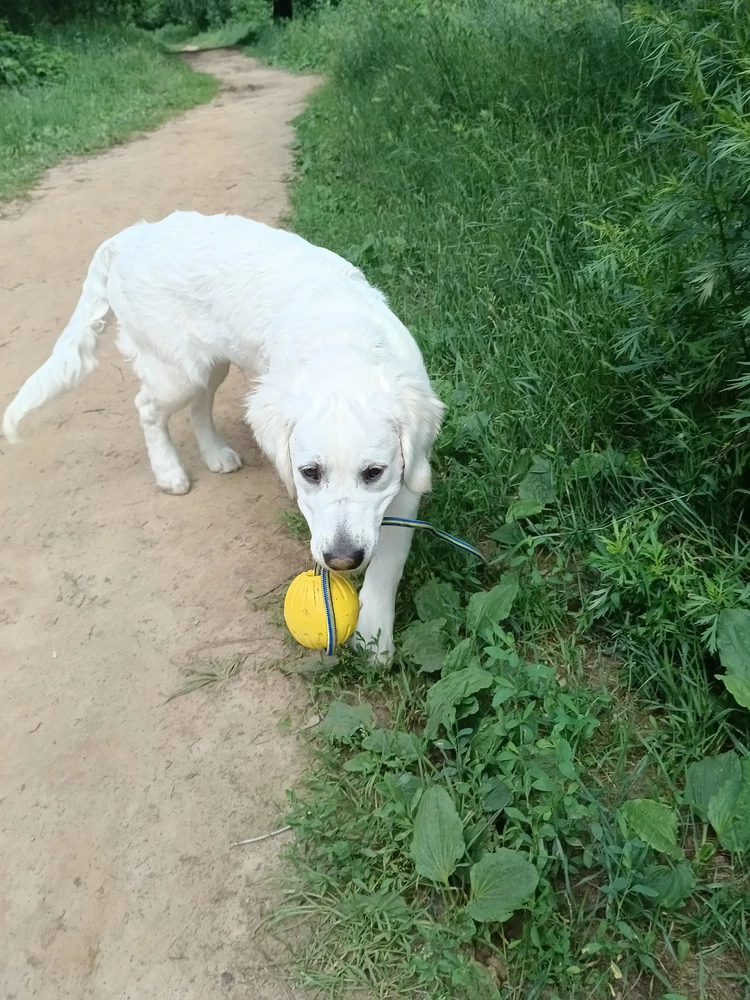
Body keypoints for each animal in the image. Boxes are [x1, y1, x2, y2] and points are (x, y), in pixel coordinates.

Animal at [1, 211, 446, 660]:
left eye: (373, 472)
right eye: (309, 472)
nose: (341, 560)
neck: (340, 342)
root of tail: (134, 233)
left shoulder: (405, 480)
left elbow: (389, 559)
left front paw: (374, 636)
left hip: (208, 365)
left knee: (199, 405)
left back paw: (216, 454)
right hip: (177, 372)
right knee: (147, 407)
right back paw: (169, 472)